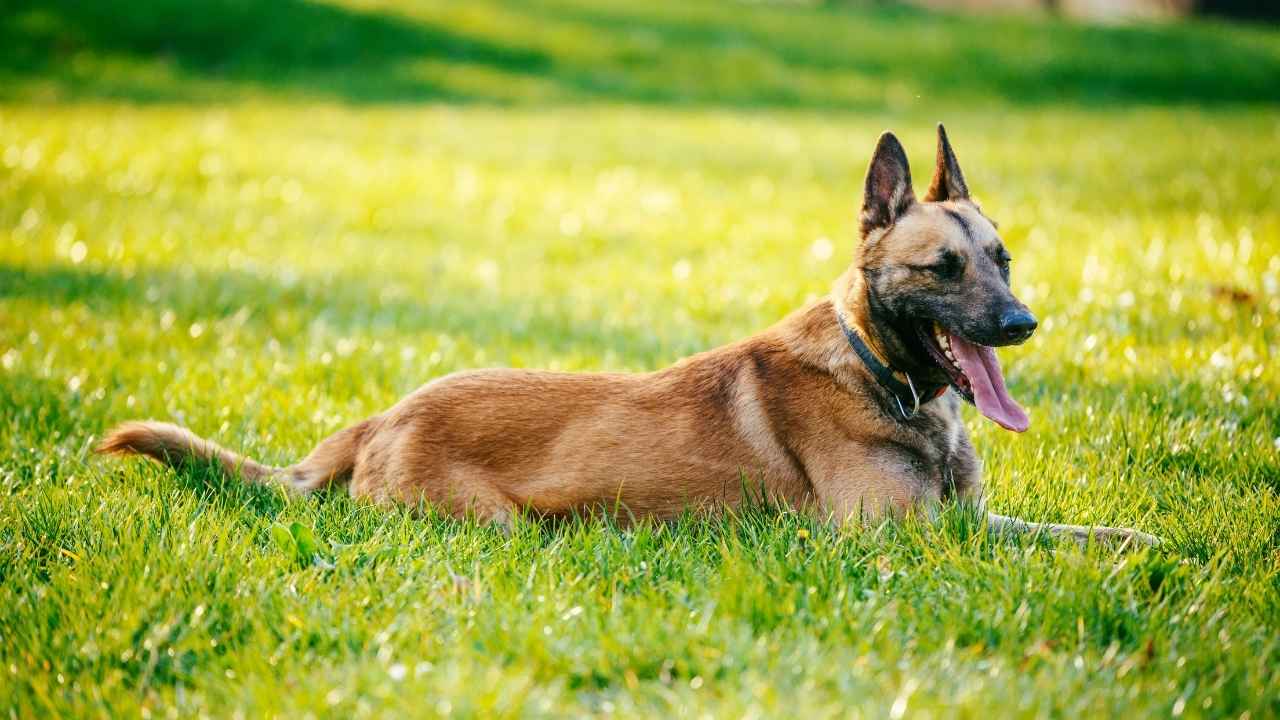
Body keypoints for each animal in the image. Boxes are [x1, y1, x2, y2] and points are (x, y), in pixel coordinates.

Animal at [99, 124, 1162, 543]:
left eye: (1004, 259)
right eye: (943, 269)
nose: (1022, 323)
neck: (880, 375)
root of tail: (383, 415)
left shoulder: (968, 520)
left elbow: (1086, 533)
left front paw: (1162, 545)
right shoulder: (904, 538)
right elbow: (1038, 546)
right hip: (493, 523)